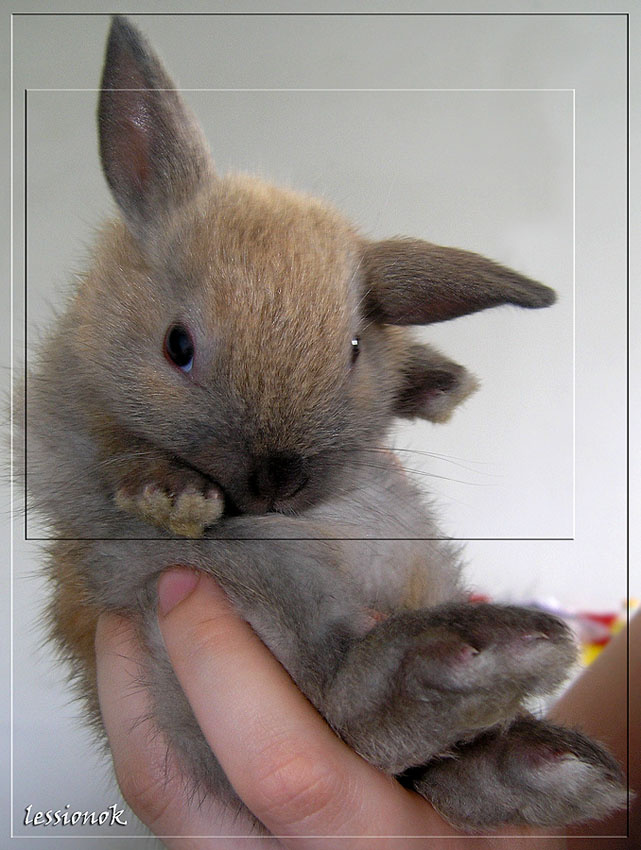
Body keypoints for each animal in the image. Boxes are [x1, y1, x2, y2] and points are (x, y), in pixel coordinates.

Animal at [23, 15, 627, 833]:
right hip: (254, 581)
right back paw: (488, 669)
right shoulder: (60, 425)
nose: (276, 485)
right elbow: (108, 448)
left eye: (353, 350)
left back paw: (542, 760)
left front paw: (436, 383)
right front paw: (171, 495)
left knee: (419, 764)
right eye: (177, 346)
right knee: (344, 706)